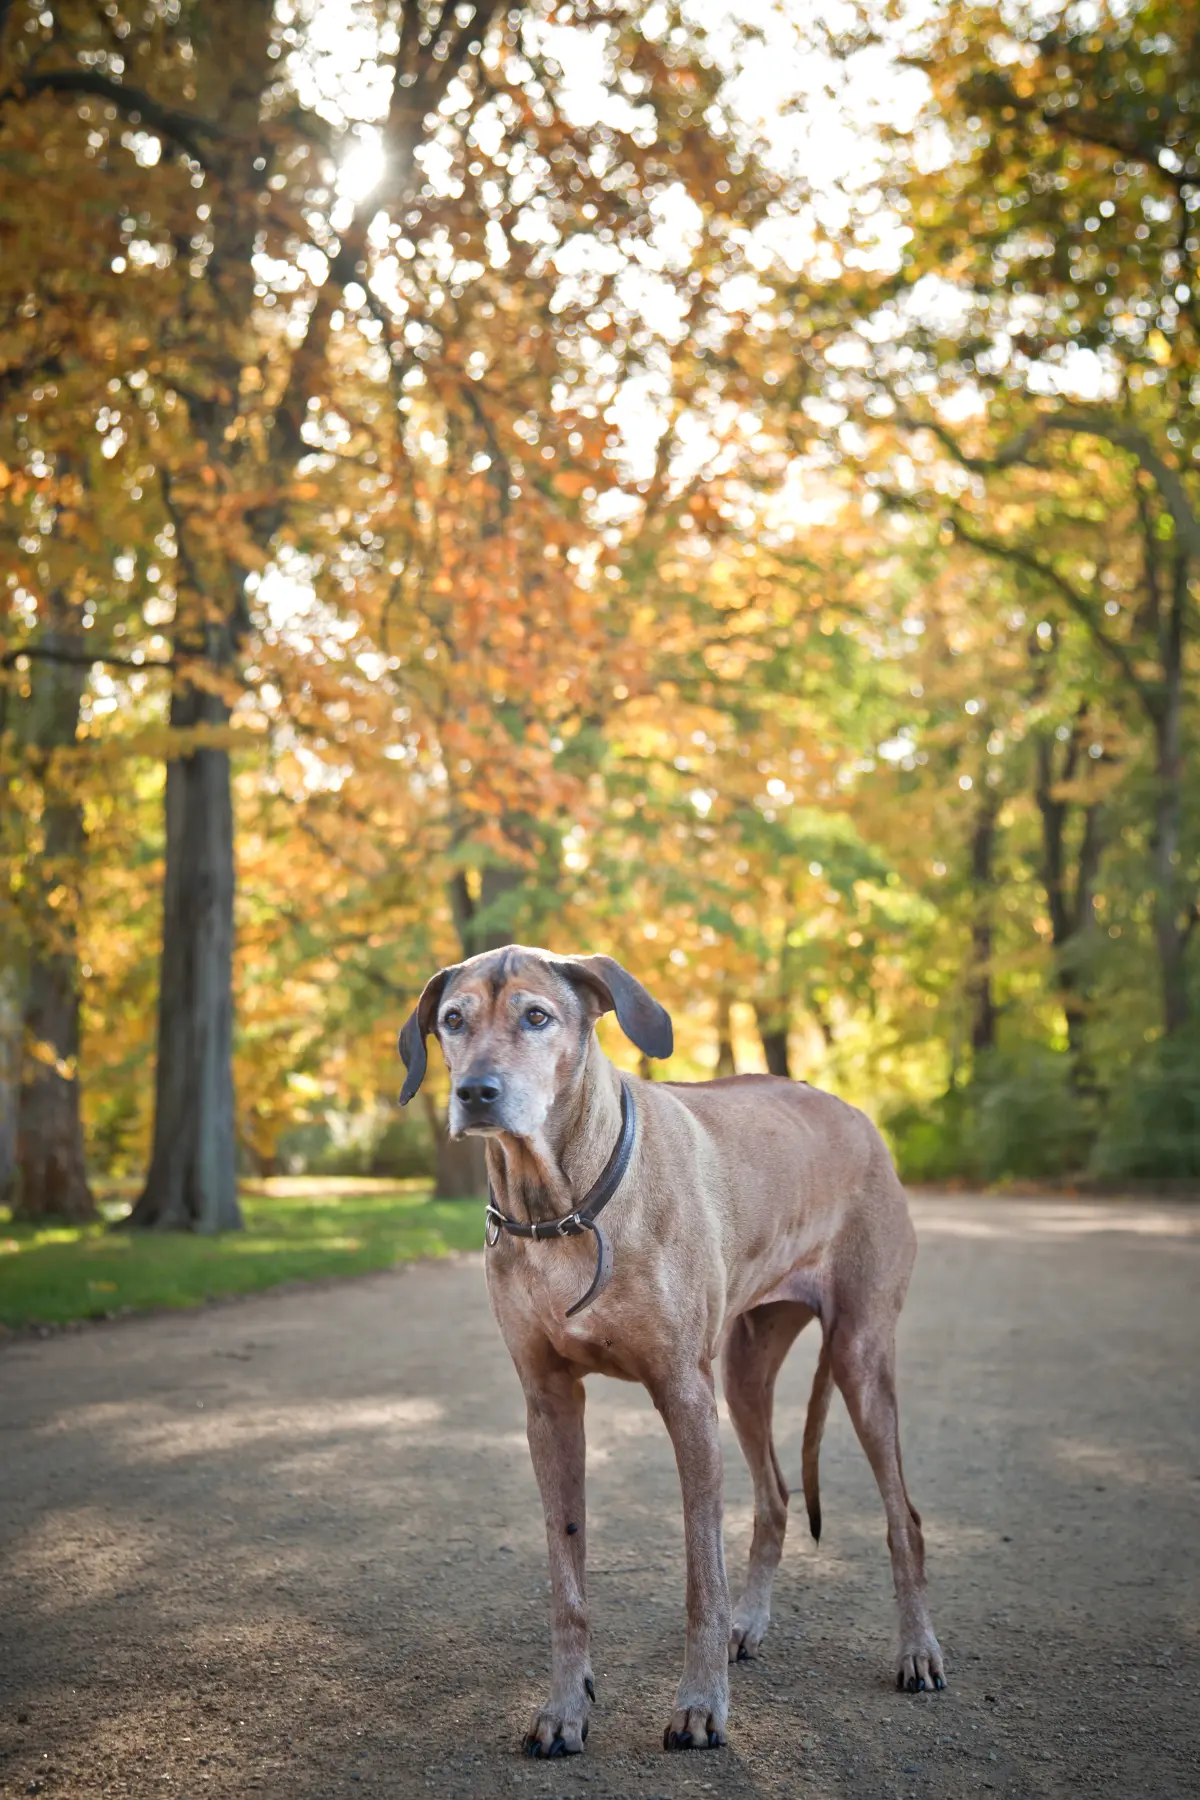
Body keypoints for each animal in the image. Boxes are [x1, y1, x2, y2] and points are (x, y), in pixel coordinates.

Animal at [402, 950, 949, 1749]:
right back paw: (751, 1624)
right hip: (746, 1373)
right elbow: (566, 1574)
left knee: (902, 1517)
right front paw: (565, 1707)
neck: (562, 1208)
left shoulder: (685, 1396)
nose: (477, 1093)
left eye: (537, 1017)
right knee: (775, 1500)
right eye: (452, 1020)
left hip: (858, 1354)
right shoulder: (548, 1403)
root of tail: (856, 1115)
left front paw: (700, 1704)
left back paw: (917, 1650)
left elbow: (701, 1576)